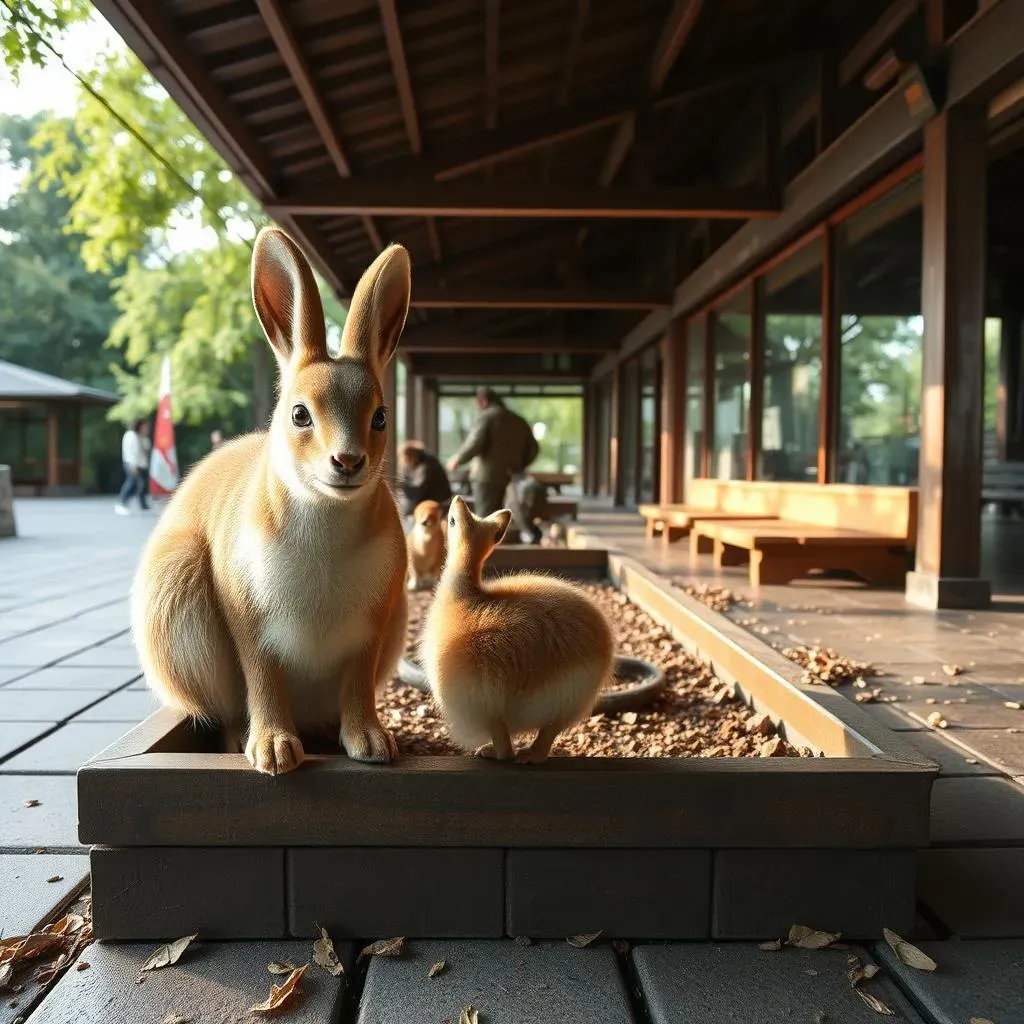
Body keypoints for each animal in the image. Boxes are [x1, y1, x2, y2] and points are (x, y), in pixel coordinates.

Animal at [130, 228, 409, 770]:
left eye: (381, 417)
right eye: (300, 414)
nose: (348, 461)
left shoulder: (375, 625)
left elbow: (359, 685)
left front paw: (371, 743)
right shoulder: (248, 620)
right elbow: (261, 679)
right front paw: (274, 751)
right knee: (224, 711)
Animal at [417, 491, 610, 765]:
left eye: (452, 521)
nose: (457, 498)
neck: (465, 598)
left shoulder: (481, 697)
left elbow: (501, 737)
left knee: (515, 741)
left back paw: (508, 753)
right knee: (549, 731)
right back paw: (530, 753)